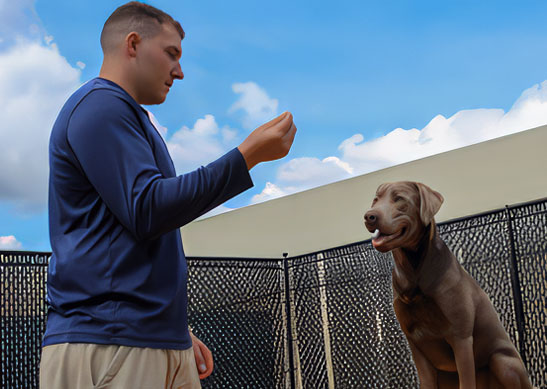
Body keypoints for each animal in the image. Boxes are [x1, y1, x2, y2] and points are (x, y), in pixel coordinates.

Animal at [364, 182, 532, 388]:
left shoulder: (461, 338)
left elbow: (466, 380)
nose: (369, 216)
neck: (414, 272)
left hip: (502, 361)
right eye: (376, 199)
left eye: (399, 198)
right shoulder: (416, 344)